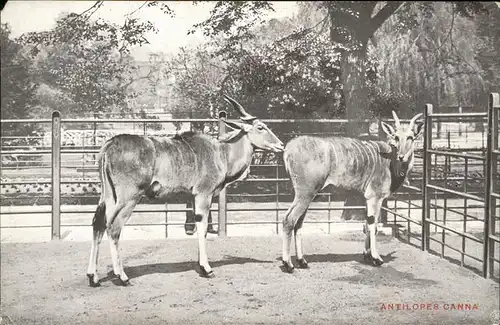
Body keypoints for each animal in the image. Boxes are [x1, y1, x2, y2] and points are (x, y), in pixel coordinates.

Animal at [84, 95, 284, 284]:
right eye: (260, 127)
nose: (281, 145)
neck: (221, 154)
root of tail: (109, 145)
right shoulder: (204, 194)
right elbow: (202, 226)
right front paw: (206, 268)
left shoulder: (194, 197)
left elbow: (200, 227)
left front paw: (200, 265)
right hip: (129, 197)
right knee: (113, 227)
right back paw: (122, 276)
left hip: (108, 196)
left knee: (98, 223)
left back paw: (93, 277)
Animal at [282, 110, 422, 270]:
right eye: (396, 136)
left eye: (411, 137)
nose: (401, 156)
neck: (390, 162)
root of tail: (288, 149)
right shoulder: (375, 197)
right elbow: (373, 225)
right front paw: (376, 258)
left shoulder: (366, 198)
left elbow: (366, 224)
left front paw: (367, 255)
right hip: (305, 193)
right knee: (288, 219)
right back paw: (288, 264)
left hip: (308, 195)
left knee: (298, 223)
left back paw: (302, 261)